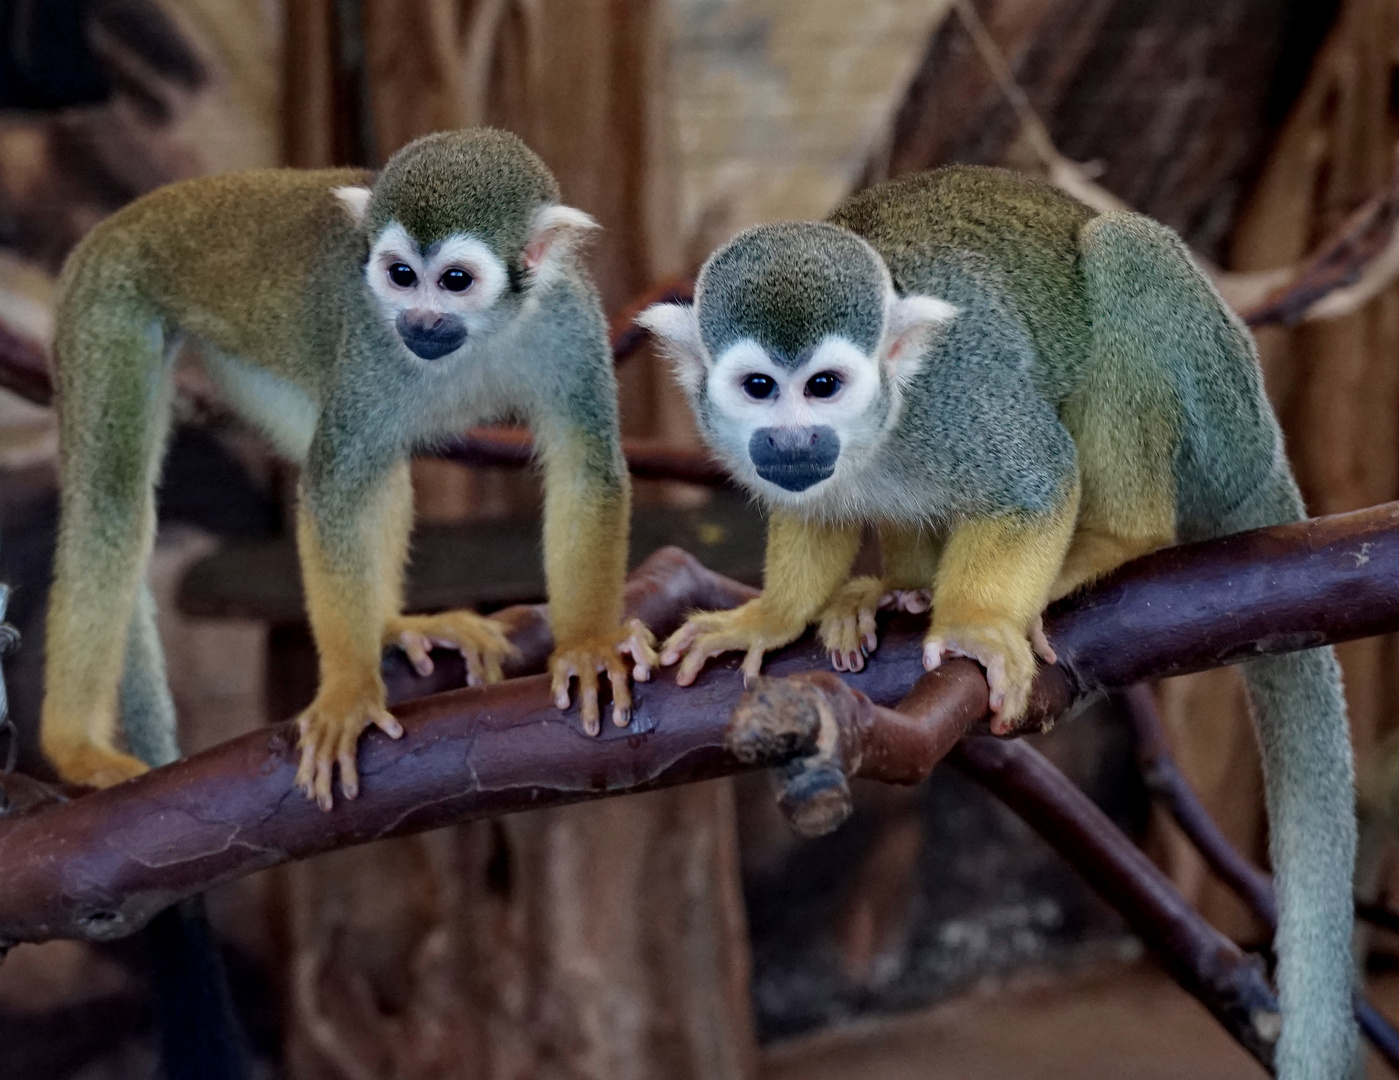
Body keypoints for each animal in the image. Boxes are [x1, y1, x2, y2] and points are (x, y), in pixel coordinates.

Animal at [42, 127, 656, 811]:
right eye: (400, 275)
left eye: (456, 280)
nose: (419, 320)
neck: (485, 334)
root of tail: (128, 217)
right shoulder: (370, 340)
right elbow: (334, 491)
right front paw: (348, 692)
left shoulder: (569, 319)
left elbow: (586, 467)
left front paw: (586, 645)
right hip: (107, 307)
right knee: (112, 505)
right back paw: (73, 747)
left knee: (373, 466)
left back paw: (388, 626)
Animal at [639, 166, 1357, 1079]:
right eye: (758, 388)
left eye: (824, 386)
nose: (793, 439)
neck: (880, 430)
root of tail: (1266, 455)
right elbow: (814, 512)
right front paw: (771, 615)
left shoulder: (958, 400)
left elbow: (1033, 482)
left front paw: (978, 626)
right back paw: (897, 591)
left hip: (1221, 428)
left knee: (1123, 258)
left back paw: (1113, 540)